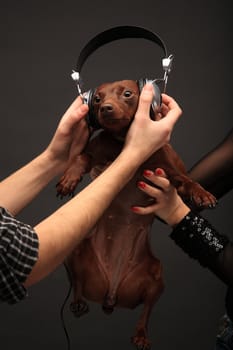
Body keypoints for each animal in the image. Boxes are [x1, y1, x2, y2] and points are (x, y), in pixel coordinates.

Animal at [56, 80, 215, 350]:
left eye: (127, 94)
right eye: (97, 99)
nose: (105, 108)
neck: (123, 142)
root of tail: (111, 295)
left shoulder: (169, 173)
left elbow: (185, 180)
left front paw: (200, 192)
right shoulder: (94, 153)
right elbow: (81, 156)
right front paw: (69, 178)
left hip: (157, 276)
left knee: (146, 310)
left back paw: (141, 334)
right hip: (74, 250)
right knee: (76, 282)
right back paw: (77, 303)